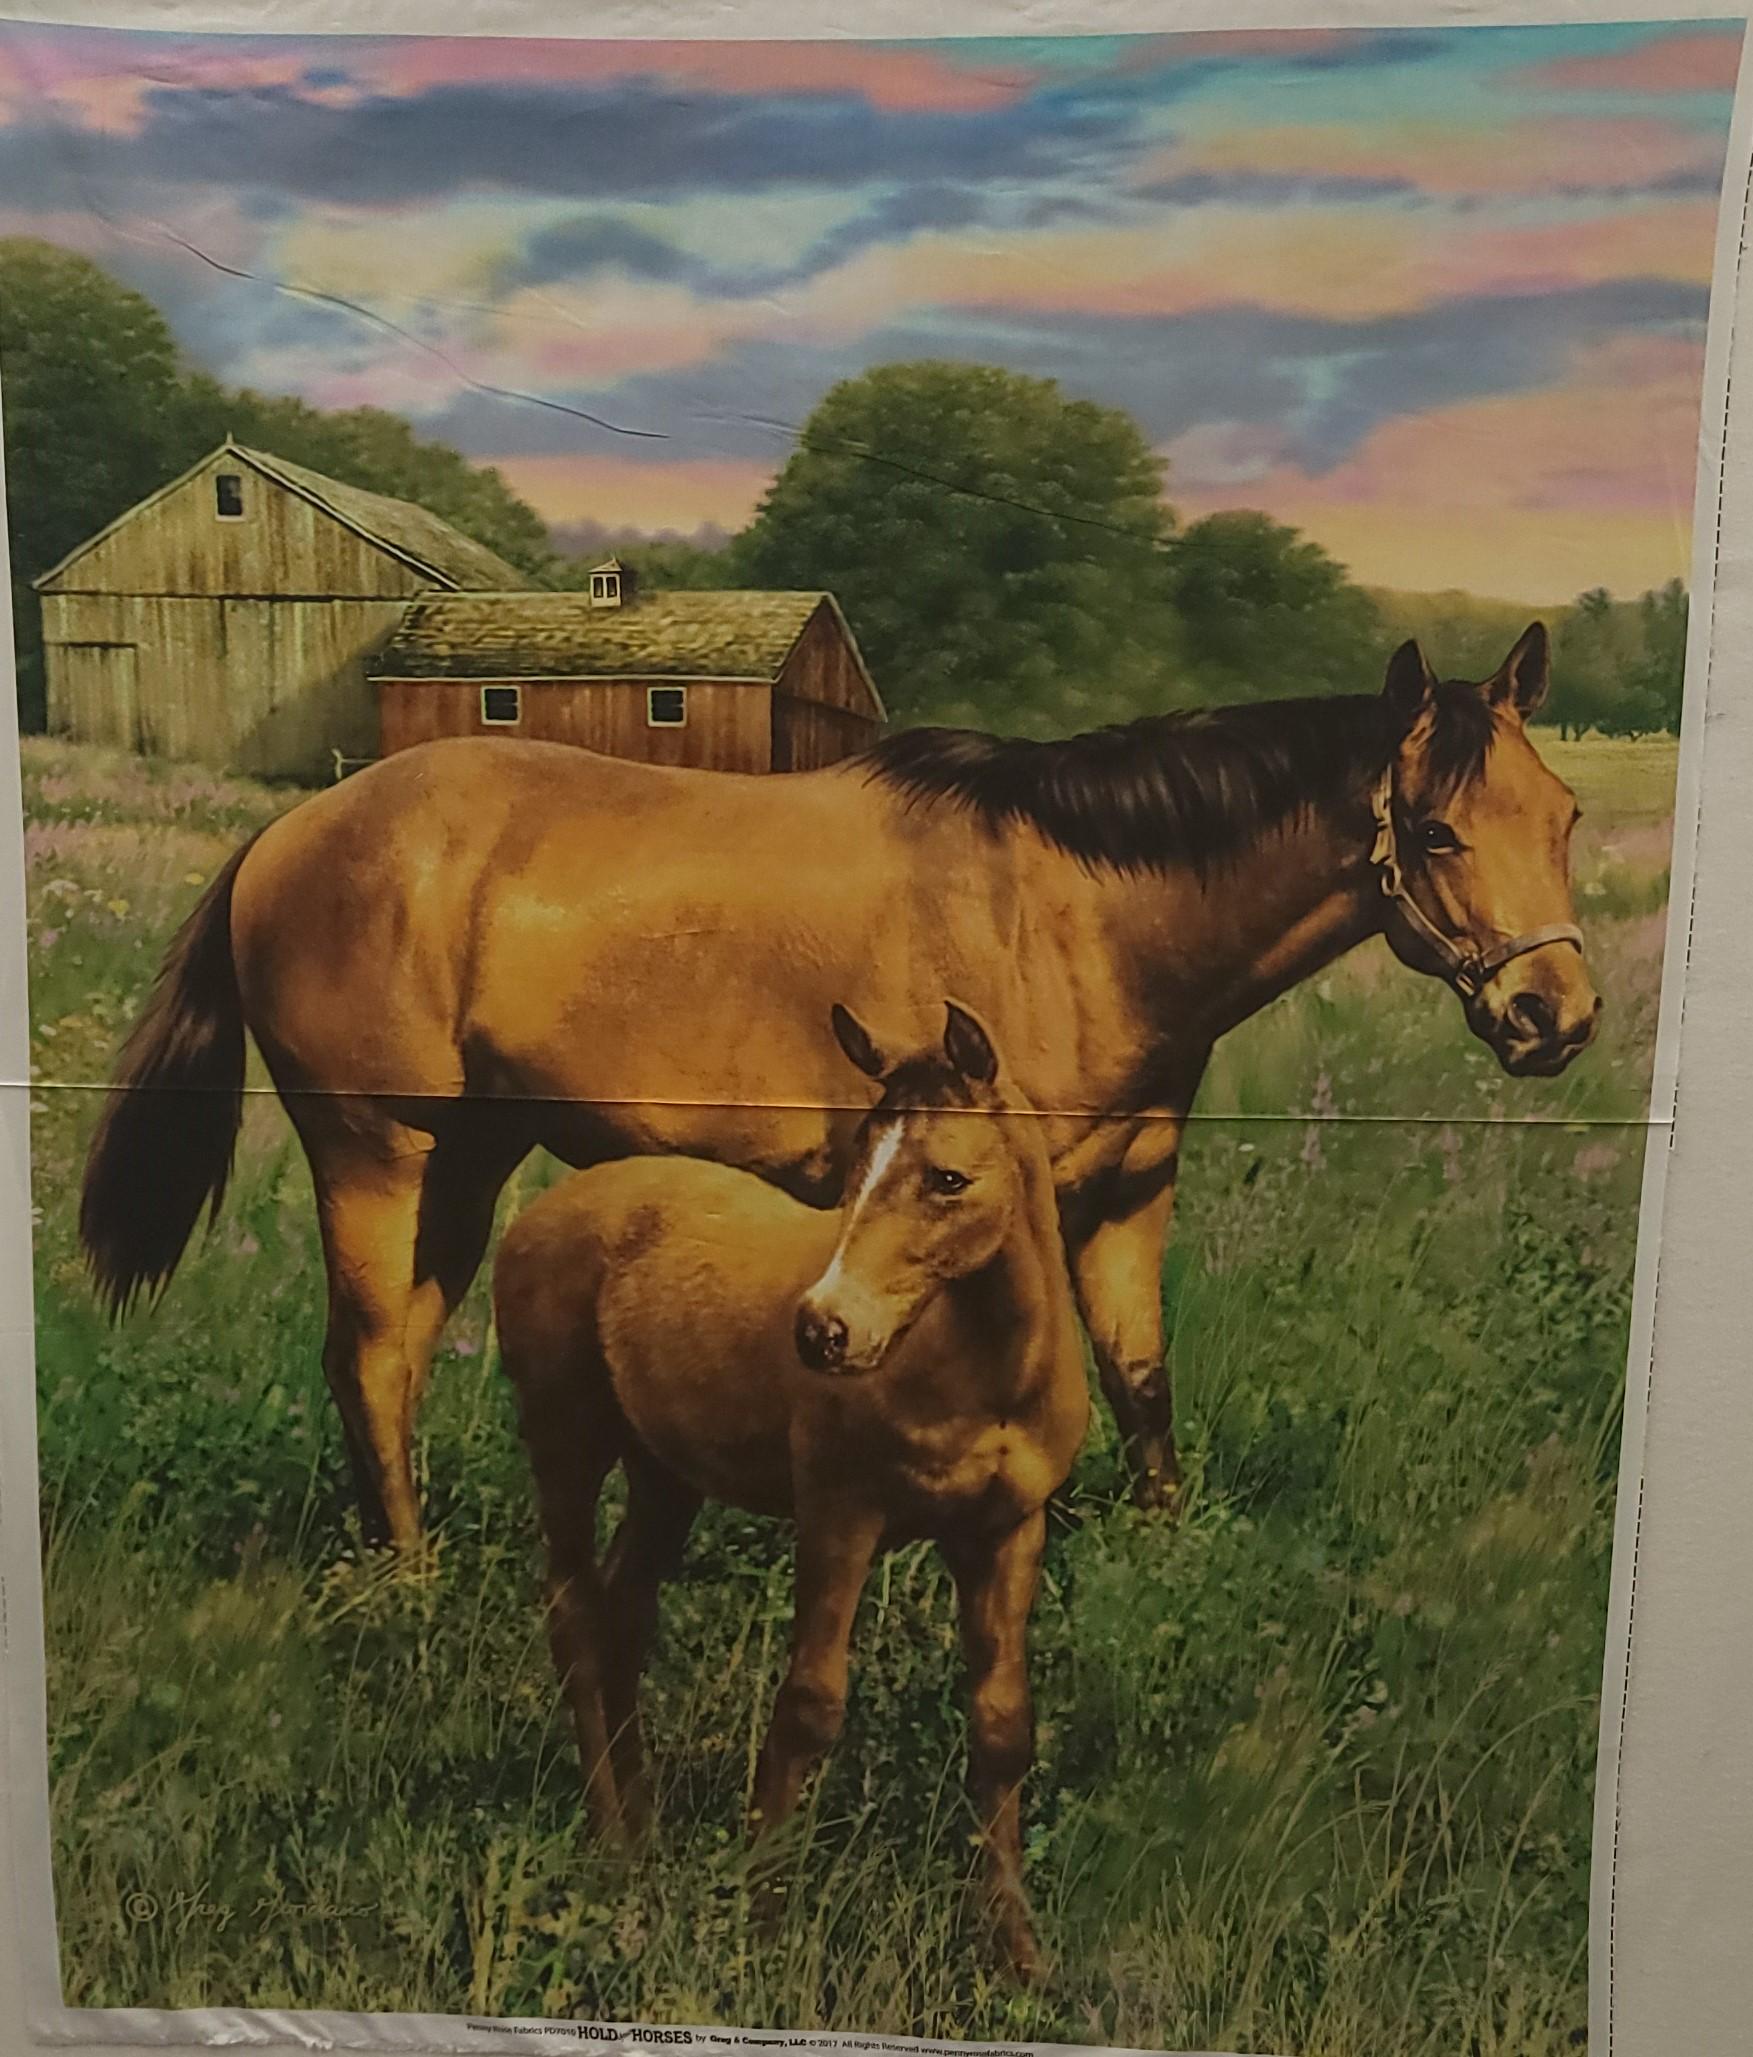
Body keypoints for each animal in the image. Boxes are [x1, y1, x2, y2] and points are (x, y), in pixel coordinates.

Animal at [78, 624, 1598, 1549]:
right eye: (1438, 828)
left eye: (1565, 815)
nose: (1556, 1013)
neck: (1067, 909)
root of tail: (289, 831)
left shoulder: (1124, 1194)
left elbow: (1142, 1376)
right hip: (377, 1153)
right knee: (364, 1355)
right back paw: (408, 1579)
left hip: (463, 1163)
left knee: (395, 1357)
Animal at [492, 1000, 1088, 1981]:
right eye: (856, 1164)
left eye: (948, 1177)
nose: (822, 1330)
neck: (986, 1375)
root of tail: (542, 1209)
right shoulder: (841, 1514)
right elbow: (810, 1705)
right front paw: (762, 1922)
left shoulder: (1007, 1529)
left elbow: (1003, 1725)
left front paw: (1016, 1949)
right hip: (565, 1439)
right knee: (575, 1612)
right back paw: (613, 1841)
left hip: (665, 1474)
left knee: (624, 1612)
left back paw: (648, 1827)